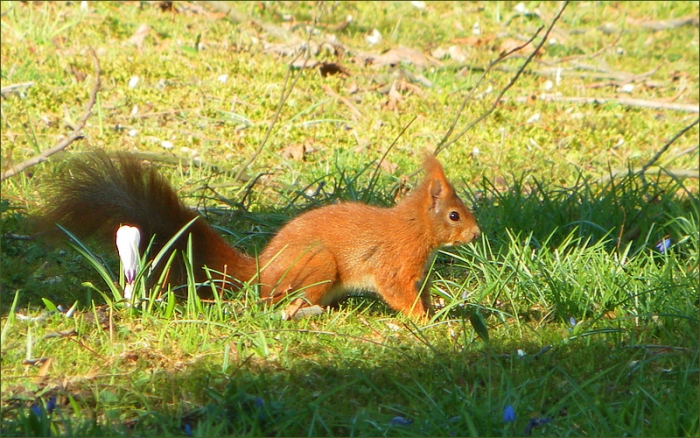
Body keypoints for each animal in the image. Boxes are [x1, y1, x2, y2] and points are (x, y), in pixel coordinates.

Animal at [39, 151, 481, 318]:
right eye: (455, 215)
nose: (477, 233)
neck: (415, 228)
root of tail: (261, 270)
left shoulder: (419, 273)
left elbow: (421, 292)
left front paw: (436, 311)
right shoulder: (395, 263)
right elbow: (398, 292)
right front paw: (424, 321)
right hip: (318, 264)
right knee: (280, 303)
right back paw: (307, 310)